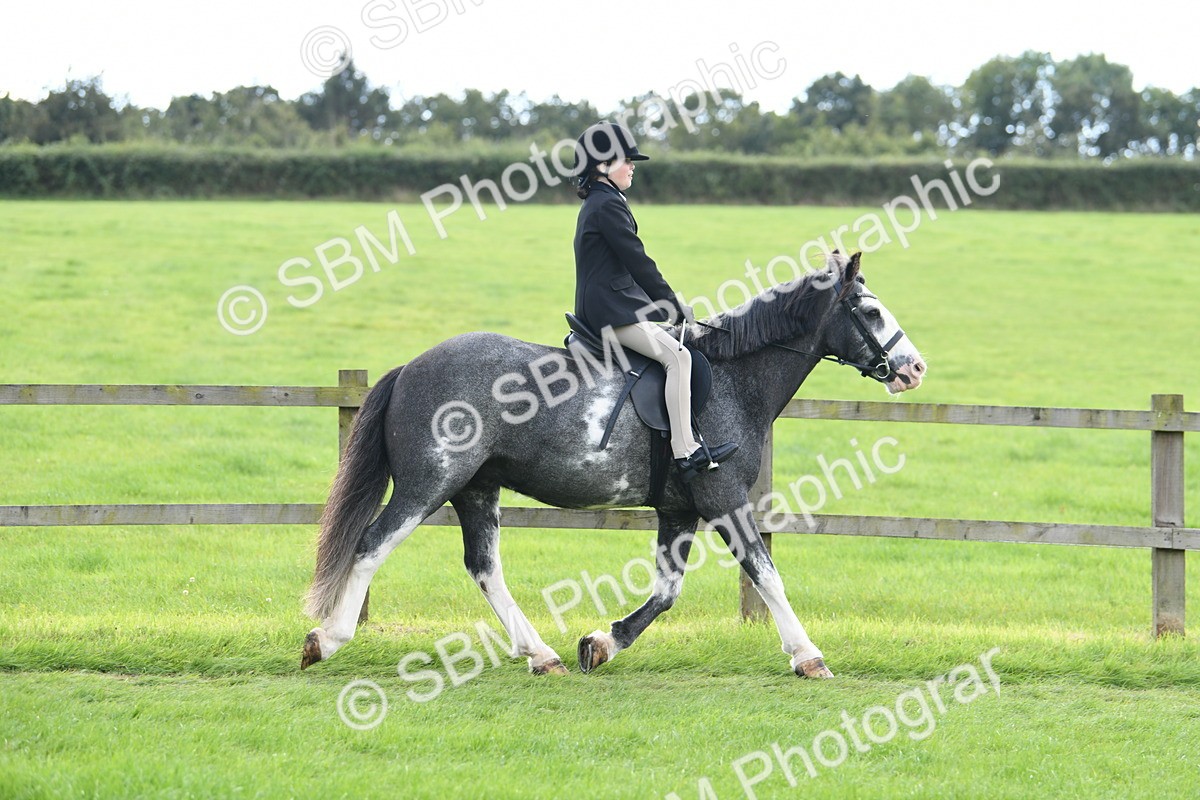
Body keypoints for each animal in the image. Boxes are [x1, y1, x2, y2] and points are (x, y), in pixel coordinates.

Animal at [300, 251, 926, 678]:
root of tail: (410, 368)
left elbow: (668, 591)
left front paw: (602, 643)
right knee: (372, 543)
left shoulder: (679, 510)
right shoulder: (724, 500)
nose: (915, 368)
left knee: (484, 568)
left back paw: (541, 654)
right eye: (870, 310)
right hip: (428, 484)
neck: (732, 378)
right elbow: (764, 571)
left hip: (476, 488)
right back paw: (326, 639)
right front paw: (808, 656)